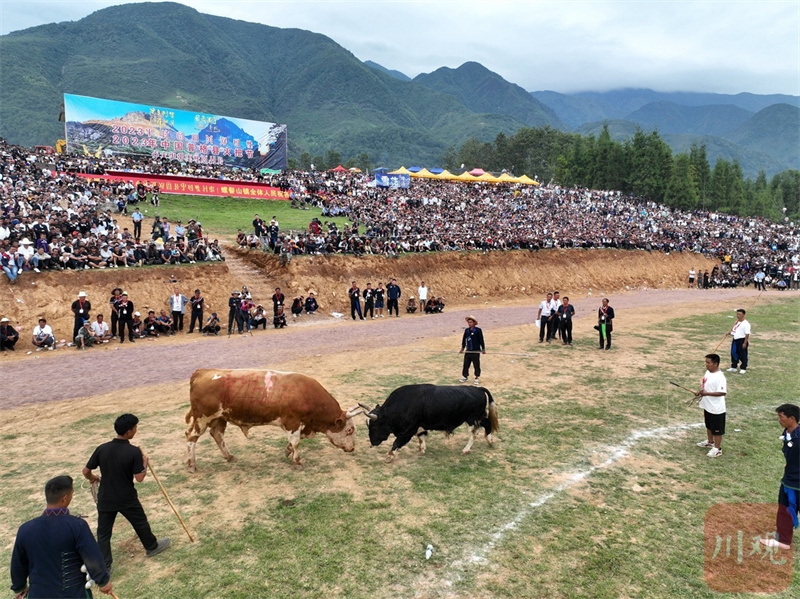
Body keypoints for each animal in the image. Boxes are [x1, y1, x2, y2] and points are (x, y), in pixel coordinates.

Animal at [184, 368, 360, 472]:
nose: (352, 448)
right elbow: (297, 441)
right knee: (191, 437)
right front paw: (297, 461)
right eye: (349, 430)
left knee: (217, 435)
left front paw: (288, 450)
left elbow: (297, 440)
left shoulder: (302, 425)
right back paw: (192, 465)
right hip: (202, 418)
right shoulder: (292, 422)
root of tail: (202, 372)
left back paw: (229, 456)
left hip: (219, 418)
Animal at [360, 386, 500, 462]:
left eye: (374, 426)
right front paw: (422, 450)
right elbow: (421, 437)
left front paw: (390, 456)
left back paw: (478, 445)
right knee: (478, 430)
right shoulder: (418, 427)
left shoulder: (407, 430)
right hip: (473, 419)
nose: (372, 443)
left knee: (481, 428)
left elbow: (396, 442)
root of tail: (478, 389)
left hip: (473, 418)